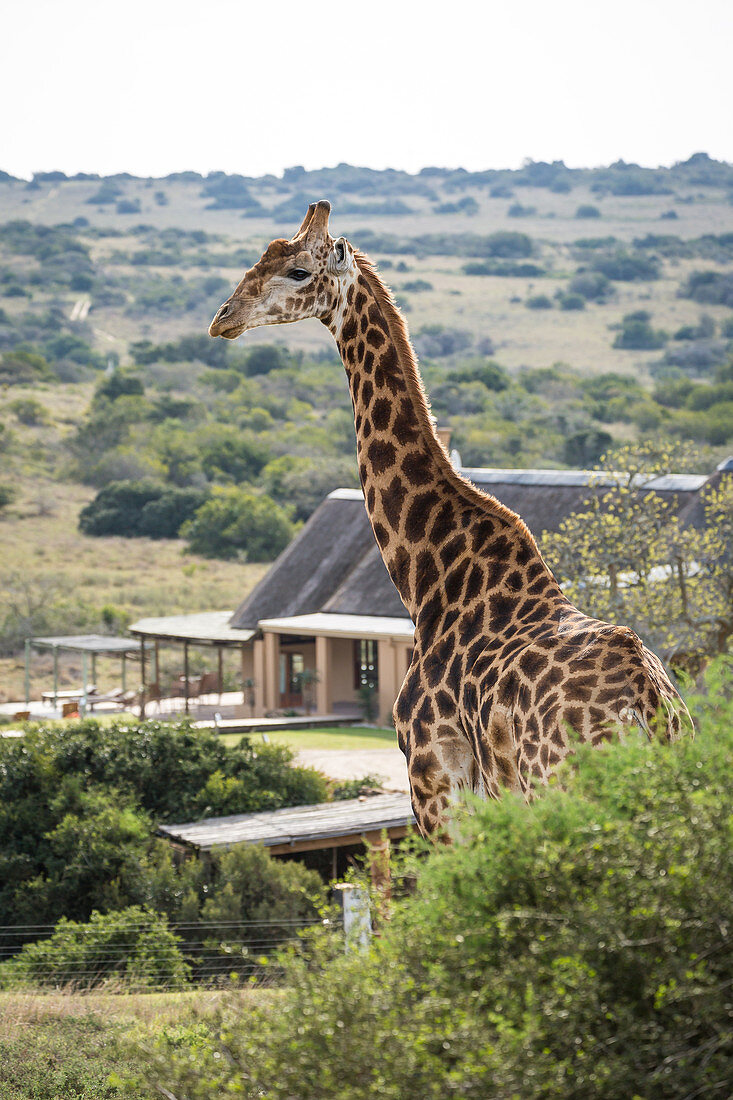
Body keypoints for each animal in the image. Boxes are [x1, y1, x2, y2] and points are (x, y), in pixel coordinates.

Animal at [206, 200, 691, 831]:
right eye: (259, 259)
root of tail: (648, 708)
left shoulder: (435, 783)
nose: (223, 318)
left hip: (563, 793)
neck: (428, 582)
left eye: (297, 271)